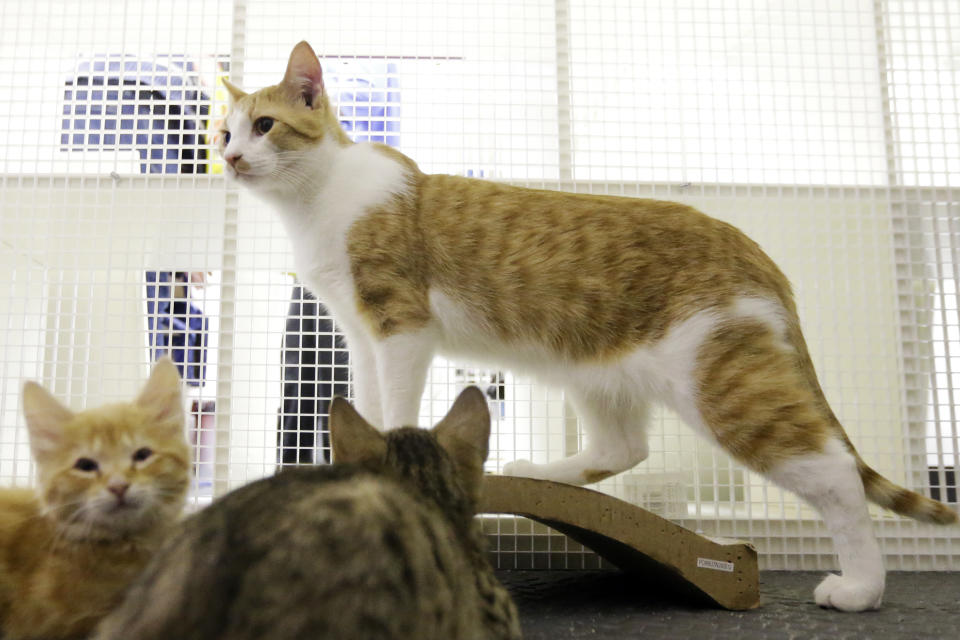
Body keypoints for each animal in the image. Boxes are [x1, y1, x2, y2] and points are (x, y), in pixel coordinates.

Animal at [219, 42, 960, 612]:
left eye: (266, 125)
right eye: (223, 132)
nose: (227, 159)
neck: (319, 199)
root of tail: (751, 249)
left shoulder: (400, 322)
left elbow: (396, 401)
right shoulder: (359, 331)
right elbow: (370, 401)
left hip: (724, 383)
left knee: (833, 472)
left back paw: (861, 587)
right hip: (596, 371)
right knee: (622, 448)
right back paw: (541, 470)